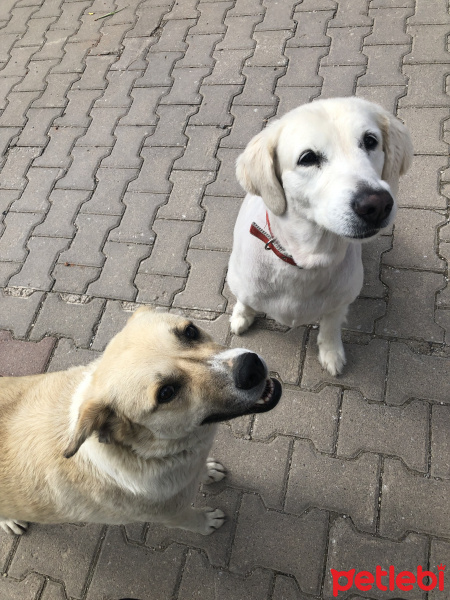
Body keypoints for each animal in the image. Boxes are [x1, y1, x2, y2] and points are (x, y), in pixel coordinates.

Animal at [0, 308, 282, 536]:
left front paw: (208, 470)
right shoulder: (173, 515)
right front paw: (206, 522)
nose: (251, 367)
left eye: (190, 331)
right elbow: (193, 520)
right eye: (166, 393)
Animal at [227, 98, 414, 376]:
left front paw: (331, 353)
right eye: (308, 158)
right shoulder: (243, 284)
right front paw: (241, 316)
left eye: (370, 141)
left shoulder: (340, 303)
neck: (306, 260)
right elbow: (245, 301)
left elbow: (330, 328)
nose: (377, 204)